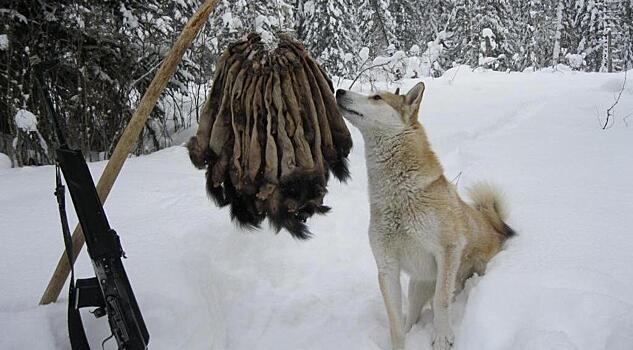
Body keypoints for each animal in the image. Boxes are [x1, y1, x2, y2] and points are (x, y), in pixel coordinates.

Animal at [336, 82, 512, 350]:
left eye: (376, 97)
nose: (338, 91)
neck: (398, 195)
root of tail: (495, 229)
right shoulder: (387, 267)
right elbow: (395, 322)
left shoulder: (449, 250)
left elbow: (441, 301)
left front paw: (442, 337)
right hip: (417, 285)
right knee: (412, 315)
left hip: (469, 270)